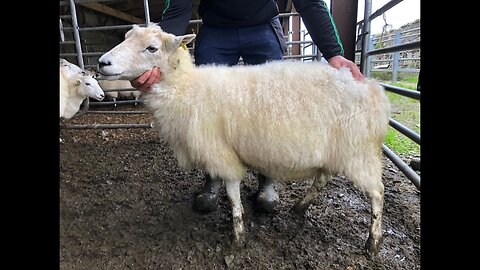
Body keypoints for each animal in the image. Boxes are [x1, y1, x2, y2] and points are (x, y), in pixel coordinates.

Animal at [96, 24, 390, 258]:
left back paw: (373, 243)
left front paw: (237, 237)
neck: (185, 89)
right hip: (338, 148)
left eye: (152, 48)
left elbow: (232, 193)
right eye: (125, 37)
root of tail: (371, 88)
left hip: (358, 149)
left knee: (377, 192)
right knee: (323, 178)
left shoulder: (221, 152)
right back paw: (299, 207)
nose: (102, 63)